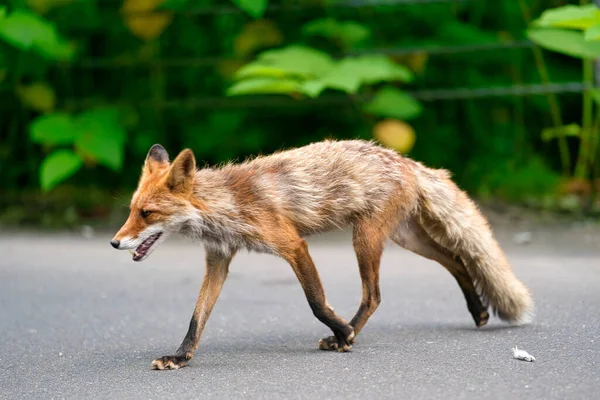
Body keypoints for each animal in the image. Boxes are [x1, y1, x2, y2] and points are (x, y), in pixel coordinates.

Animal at [110, 139, 532, 370]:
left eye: (147, 214)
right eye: (131, 210)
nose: (114, 243)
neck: (226, 204)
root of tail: (406, 161)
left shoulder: (293, 244)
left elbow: (315, 301)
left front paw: (342, 332)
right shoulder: (219, 259)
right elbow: (196, 319)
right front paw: (180, 358)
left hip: (366, 238)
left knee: (374, 295)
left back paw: (348, 333)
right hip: (405, 238)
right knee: (456, 259)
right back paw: (477, 310)